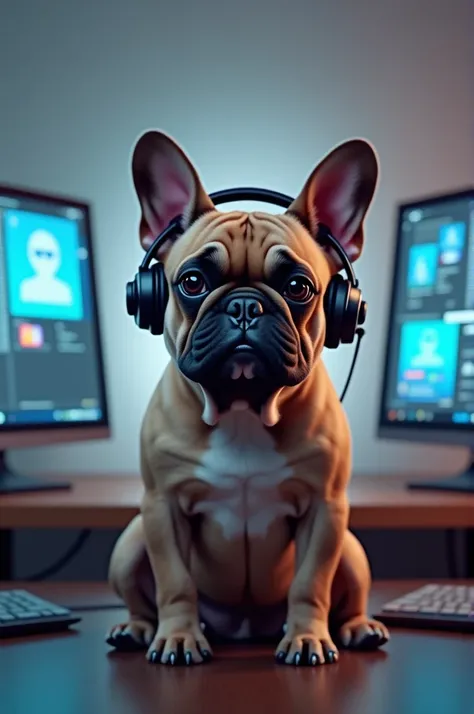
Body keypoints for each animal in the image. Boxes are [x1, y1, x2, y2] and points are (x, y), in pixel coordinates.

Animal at [107, 131, 388, 664]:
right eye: (192, 282)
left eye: (298, 287)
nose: (244, 305)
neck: (242, 408)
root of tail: (241, 629)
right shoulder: (161, 507)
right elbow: (174, 583)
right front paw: (177, 636)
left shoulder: (326, 509)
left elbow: (310, 584)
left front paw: (307, 637)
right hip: (130, 541)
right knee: (140, 595)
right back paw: (136, 628)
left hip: (353, 550)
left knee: (351, 592)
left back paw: (357, 627)